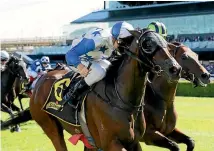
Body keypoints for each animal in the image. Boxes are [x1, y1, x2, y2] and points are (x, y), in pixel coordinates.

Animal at [29, 29, 181, 151]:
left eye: (167, 44)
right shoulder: (111, 143)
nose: (175, 69)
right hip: (50, 127)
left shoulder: (134, 141)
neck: (119, 99)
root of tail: (41, 80)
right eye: (148, 44)